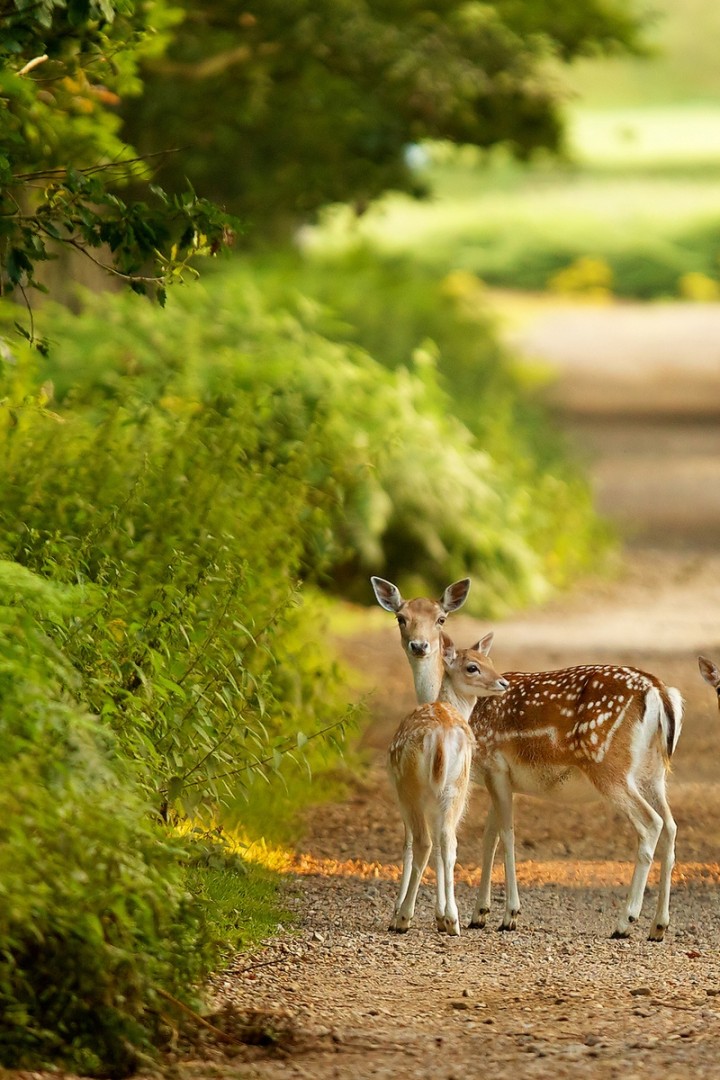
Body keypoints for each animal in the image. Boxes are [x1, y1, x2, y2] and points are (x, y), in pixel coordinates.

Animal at [388, 635, 511, 933]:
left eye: (489, 660)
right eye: (473, 667)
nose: (503, 682)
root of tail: (441, 737)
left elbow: (409, 845)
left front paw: (403, 913)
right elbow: (443, 847)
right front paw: (441, 916)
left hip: (412, 788)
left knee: (424, 842)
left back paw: (404, 918)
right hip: (456, 787)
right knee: (448, 842)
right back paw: (453, 920)